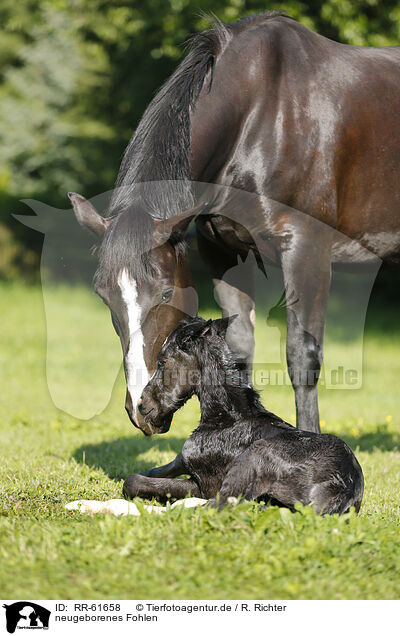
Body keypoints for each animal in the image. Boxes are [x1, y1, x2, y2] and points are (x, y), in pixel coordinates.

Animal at [69, 12, 400, 434]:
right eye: (103, 295)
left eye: (165, 293)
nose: (142, 409)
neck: (262, 114)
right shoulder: (224, 252)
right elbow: (238, 349)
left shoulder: (306, 249)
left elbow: (303, 357)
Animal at [123, 316, 364, 516]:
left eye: (162, 361)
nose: (142, 405)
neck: (226, 420)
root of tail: (343, 490)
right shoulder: (180, 462)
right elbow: (149, 472)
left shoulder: (205, 485)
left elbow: (133, 481)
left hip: (252, 460)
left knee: (216, 506)